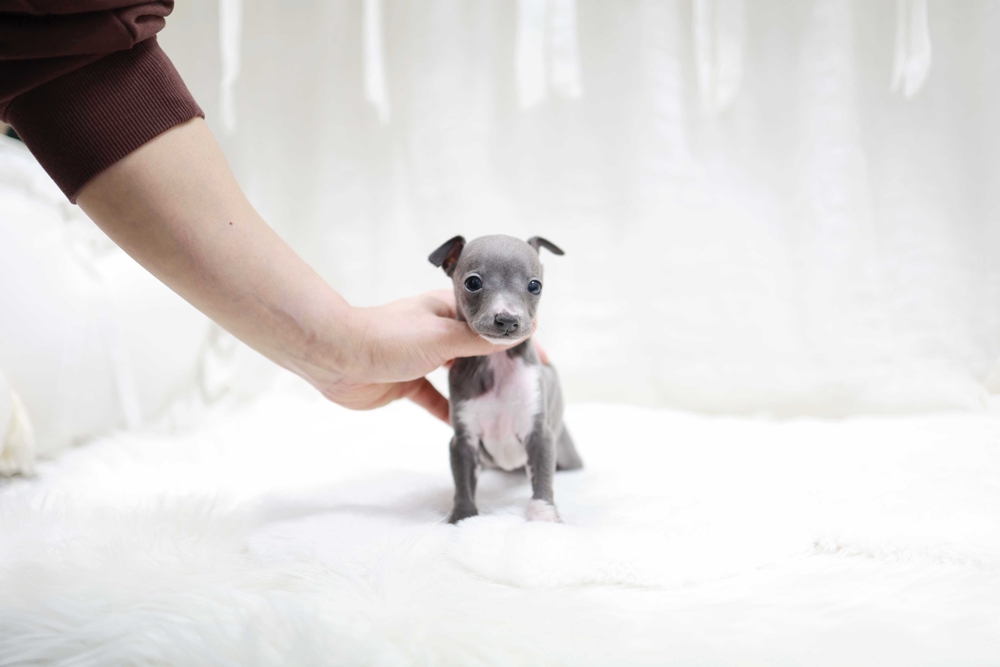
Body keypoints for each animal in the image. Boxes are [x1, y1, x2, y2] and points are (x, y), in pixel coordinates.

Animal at [428, 234, 583, 523]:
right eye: (473, 283)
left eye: (535, 286)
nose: (507, 319)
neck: (498, 362)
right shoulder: (463, 440)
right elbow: (462, 482)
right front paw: (462, 518)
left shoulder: (539, 433)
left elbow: (543, 477)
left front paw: (544, 515)